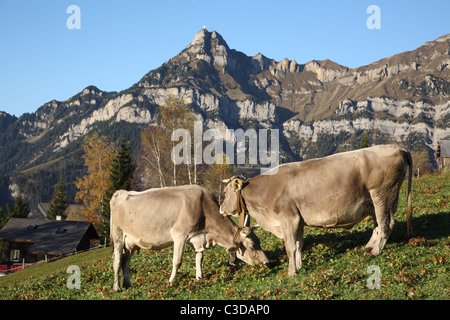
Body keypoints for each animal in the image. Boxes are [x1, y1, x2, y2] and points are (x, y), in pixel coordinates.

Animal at [110, 184, 268, 292]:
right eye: (252, 245)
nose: (267, 262)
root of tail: (120, 192)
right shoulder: (180, 235)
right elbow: (177, 261)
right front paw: (171, 282)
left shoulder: (197, 238)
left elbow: (199, 258)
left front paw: (199, 277)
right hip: (118, 235)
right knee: (117, 260)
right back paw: (117, 287)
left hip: (130, 242)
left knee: (126, 260)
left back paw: (128, 284)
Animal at [218, 144, 412, 276]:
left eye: (225, 192)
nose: (220, 209)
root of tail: (397, 147)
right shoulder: (298, 221)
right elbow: (298, 245)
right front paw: (299, 267)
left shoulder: (288, 220)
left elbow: (290, 247)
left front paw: (291, 272)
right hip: (375, 202)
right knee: (379, 225)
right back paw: (368, 248)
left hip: (383, 195)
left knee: (386, 225)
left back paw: (376, 252)